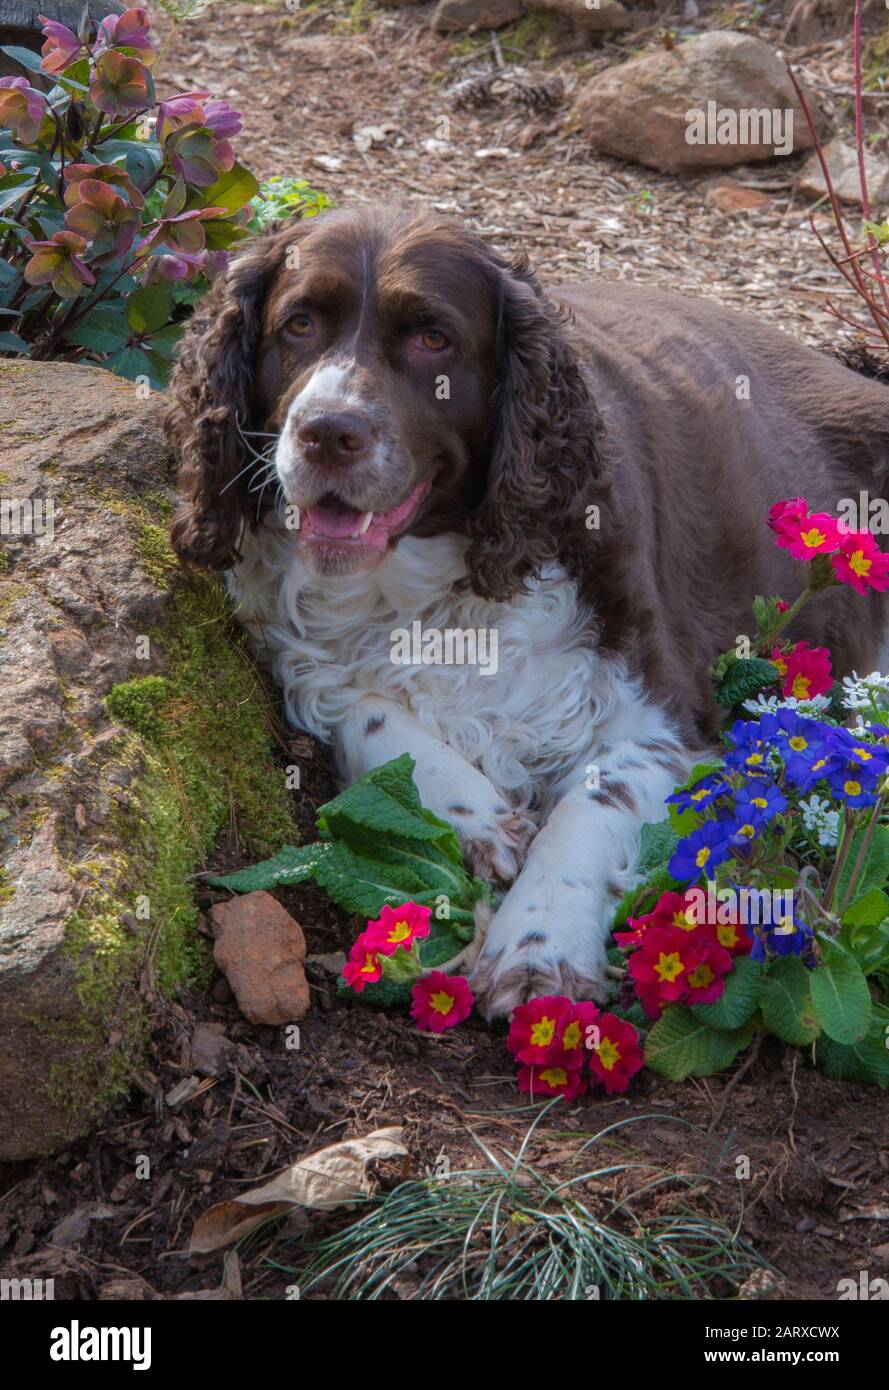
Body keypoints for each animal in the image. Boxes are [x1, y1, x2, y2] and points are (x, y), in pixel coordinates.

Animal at [166, 202, 889, 1011]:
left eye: (433, 338)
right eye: (298, 324)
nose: (326, 431)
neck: (431, 587)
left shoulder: (663, 716)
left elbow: (593, 805)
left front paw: (541, 943)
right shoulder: (296, 653)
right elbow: (372, 713)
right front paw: (474, 815)